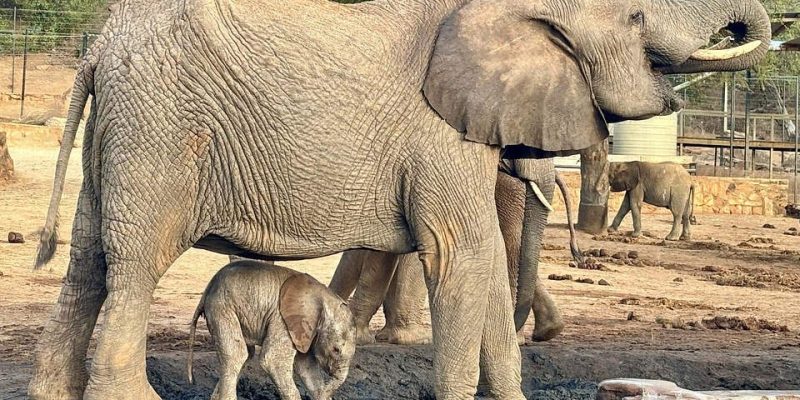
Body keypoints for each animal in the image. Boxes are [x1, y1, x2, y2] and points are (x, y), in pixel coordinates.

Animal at [187, 261, 356, 400]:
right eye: (336, 350)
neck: (324, 297)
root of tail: (207, 290)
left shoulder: (305, 332)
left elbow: (306, 368)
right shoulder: (283, 320)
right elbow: (273, 361)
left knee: (246, 355)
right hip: (222, 307)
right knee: (237, 355)